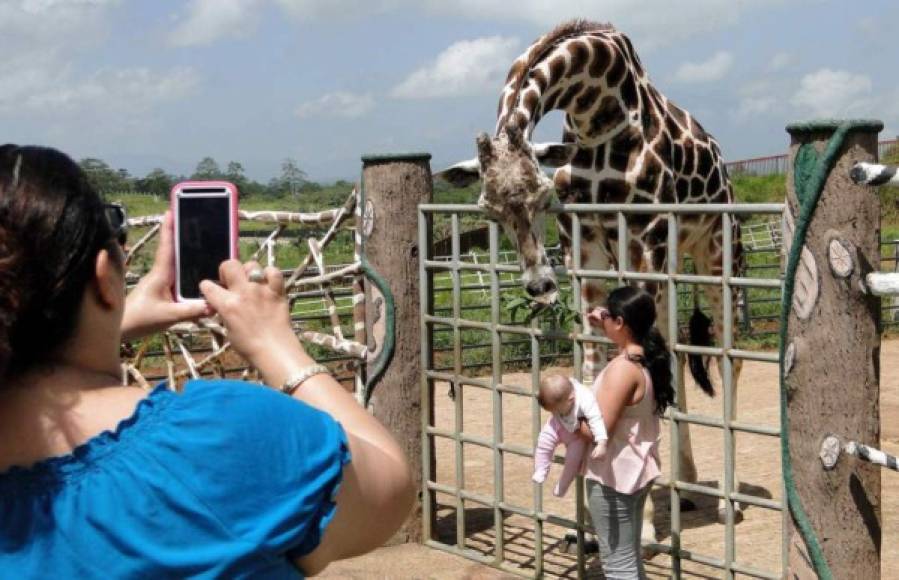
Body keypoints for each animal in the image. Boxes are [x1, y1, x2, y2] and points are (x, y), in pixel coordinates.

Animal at [436, 19, 744, 548]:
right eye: (488, 210)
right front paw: (587, 525)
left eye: (543, 197)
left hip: (715, 254)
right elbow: (594, 366)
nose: (540, 285)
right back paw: (684, 487)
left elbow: (634, 363)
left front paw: (643, 528)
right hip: (671, 267)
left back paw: (729, 502)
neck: (596, 112)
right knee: (674, 351)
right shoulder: (587, 248)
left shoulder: (644, 238)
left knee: (730, 357)